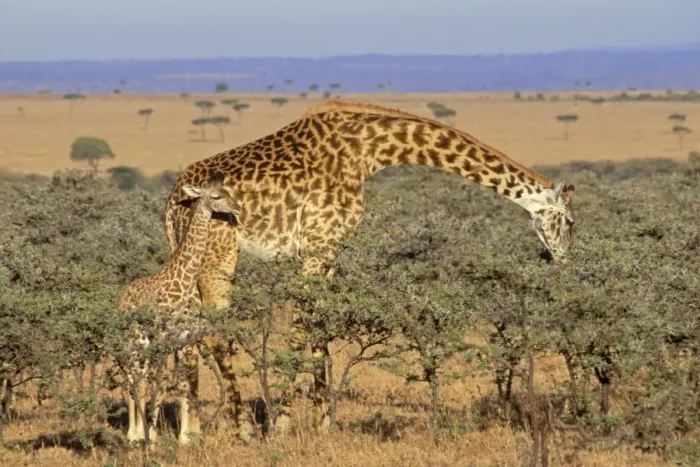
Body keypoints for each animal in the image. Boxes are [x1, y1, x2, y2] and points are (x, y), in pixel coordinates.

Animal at [117, 174, 242, 446]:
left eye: (230, 192)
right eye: (216, 196)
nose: (238, 208)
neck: (184, 278)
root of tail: (122, 298)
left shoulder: (185, 337)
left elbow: (183, 381)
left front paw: (184, 437)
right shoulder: (164, 335)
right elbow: (162, 380)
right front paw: (152, 435)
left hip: (144, 342)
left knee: (140, 377)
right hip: (134, 339)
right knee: (134, 378)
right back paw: (134, 434)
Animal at [162, 99, 576, 436]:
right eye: (571, 222)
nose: (566, 259)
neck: (369, 151)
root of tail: (172, 199)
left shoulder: (330, 249)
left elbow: (320, 327)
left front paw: (323, 422)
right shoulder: (319, 243)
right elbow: (300, 329)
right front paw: (282, 422)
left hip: (186, 254)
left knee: (185, 333)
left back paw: (185, 430)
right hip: (218, 256)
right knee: (213, 333)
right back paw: (235, 428)